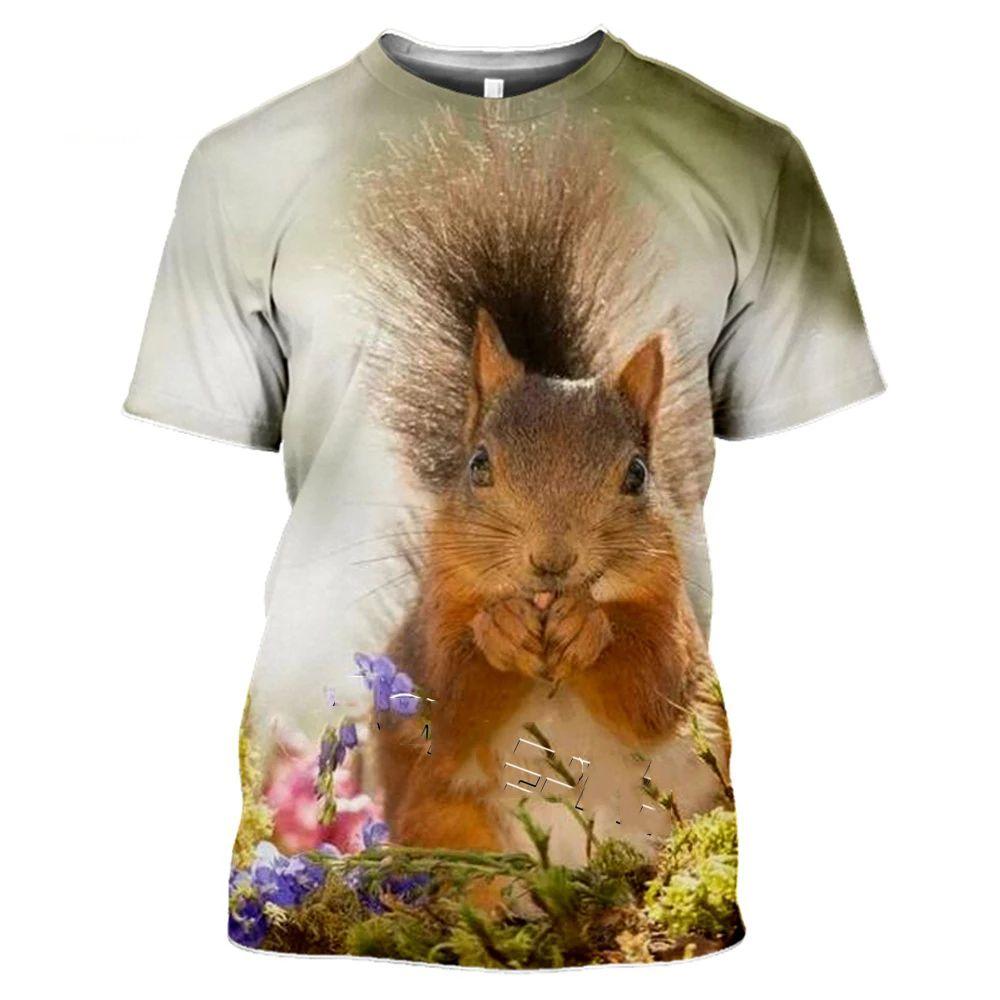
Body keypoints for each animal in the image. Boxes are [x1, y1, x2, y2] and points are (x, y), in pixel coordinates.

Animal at [355, 111, 730, 866]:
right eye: (478, 464)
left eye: (636, 474)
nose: (552, 561)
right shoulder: (432, 622)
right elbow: (450, 699)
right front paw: (499, 628)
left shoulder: (671, 620)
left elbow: (652, 689)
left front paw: (591, 626)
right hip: (450, 823)